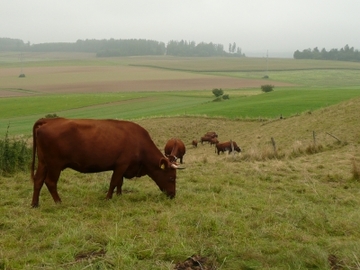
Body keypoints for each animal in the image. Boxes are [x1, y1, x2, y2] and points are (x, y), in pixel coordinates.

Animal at [30, 117, 179, 208]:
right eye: (171, 178)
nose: (173, 195)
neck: (140, 144)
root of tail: (49, 121)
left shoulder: (121, 167)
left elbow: (119, 182)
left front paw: (119, 195)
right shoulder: (121, 164)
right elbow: (114, 182)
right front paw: (108, 198)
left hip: (43, 163)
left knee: (38, 181)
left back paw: (35, 204)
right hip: (54, 165)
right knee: (50, 182)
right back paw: (59, 202)